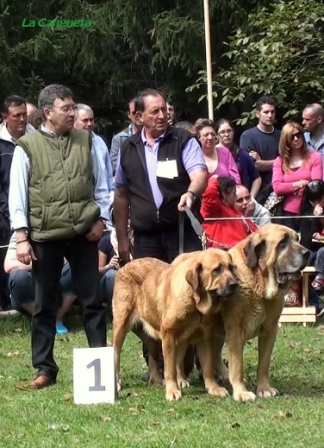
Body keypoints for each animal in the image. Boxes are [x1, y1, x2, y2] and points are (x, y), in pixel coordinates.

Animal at [112, 250, 238, 400]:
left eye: (231, 268)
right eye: (217, 270)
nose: (235, 284)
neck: (195, 300)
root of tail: (125, 266)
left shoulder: (203, 337)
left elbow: (207, 367)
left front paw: (213, 388)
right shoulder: (169, 335)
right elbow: (170, 368)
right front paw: (172, 391)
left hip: (160, 337)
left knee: (155, 357)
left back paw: (161, 380)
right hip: (120, 327)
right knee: (116, 355)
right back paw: (118, 383)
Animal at [215, 224, 308, 402]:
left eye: (297, 239)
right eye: (283, 242)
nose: (308, 253)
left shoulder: (270, 330)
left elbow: (264, 363)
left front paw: (264, 389)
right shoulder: (235, 332)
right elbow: (238, 365)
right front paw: (241, 392)